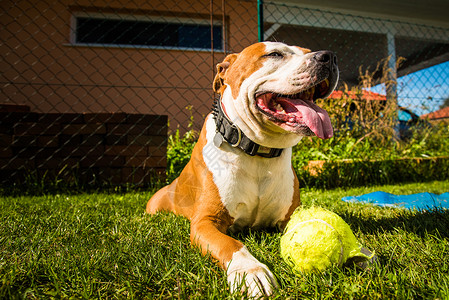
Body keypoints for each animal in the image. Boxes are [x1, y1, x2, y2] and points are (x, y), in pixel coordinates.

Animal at [145, 42, 338, 298]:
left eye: (307, 51)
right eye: (274, 54)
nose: (329, 57)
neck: (258, 151)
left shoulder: (289, 216)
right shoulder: (205, 222)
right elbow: (231, 244)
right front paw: (250, 271)